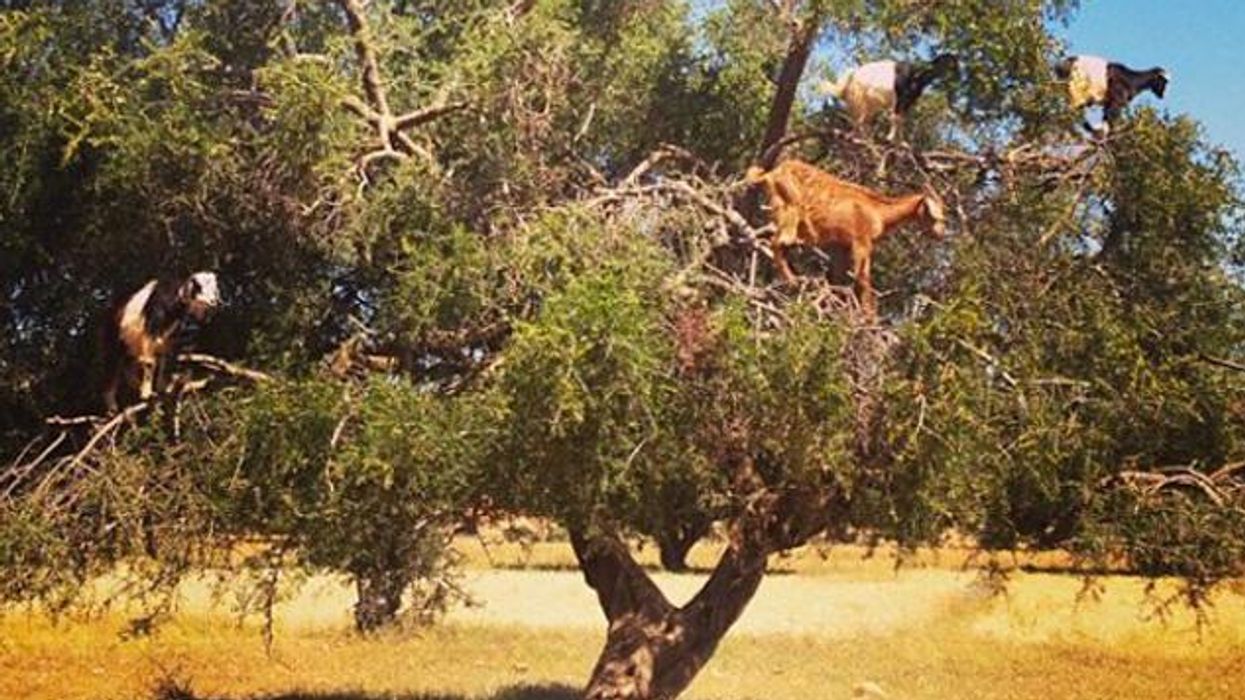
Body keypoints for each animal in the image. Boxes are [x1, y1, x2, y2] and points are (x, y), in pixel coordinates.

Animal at [101, 271, 221, 413]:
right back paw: (112, 407)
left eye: (214, 288)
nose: (214, 301)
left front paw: (162, 389)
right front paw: (147, 394)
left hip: (131, 346)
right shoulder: (151, 331)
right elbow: (150, 363)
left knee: (128, 368)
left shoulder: (169, 339)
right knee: (111, 370)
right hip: (114, 345)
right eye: (199, 286)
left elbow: (165, 362)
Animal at [746, 160, 946, 314]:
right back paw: (792, 281)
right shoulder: (861, 242)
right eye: (932, 214)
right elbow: (862, 279)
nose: (940, 233)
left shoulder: (839, 246)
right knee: (778, 242)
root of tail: (771, 174)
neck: (878, 211)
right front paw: (869, 318)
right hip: (790, 209)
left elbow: (837, 278)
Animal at [820, 54, 958, 140]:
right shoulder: (899, 97)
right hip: (860, 99)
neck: (917, 74)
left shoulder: (907, 101)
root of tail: (852, 75)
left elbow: (901, 119)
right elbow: (895, 118)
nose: (957, 76)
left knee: (862, 120)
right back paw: (857, 137)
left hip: (867, 103)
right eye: (952, 64)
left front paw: (903, 142)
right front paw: (890, 138)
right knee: (858, 120)